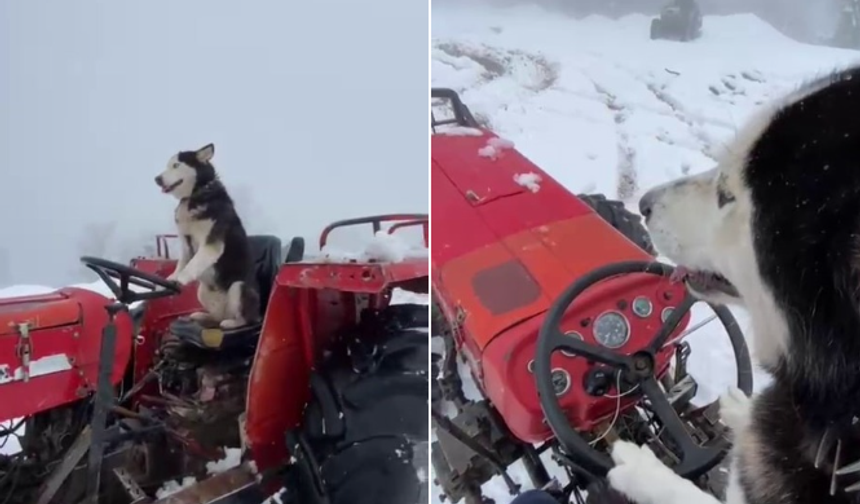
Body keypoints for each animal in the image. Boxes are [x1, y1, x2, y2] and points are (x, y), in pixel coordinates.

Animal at [155, 143, 260, 330]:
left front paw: (180, 279)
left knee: (243, 318)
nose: (157, 179)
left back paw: (231, 323)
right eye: (167, 166)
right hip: (202, 291)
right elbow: (182, 263)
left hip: (238, 287)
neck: (194, 195)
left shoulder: (211, 244)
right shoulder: (186, 243)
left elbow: (192, 265)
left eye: (176, 165)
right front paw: (172, 278)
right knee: (217, 316)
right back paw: (203, 316)